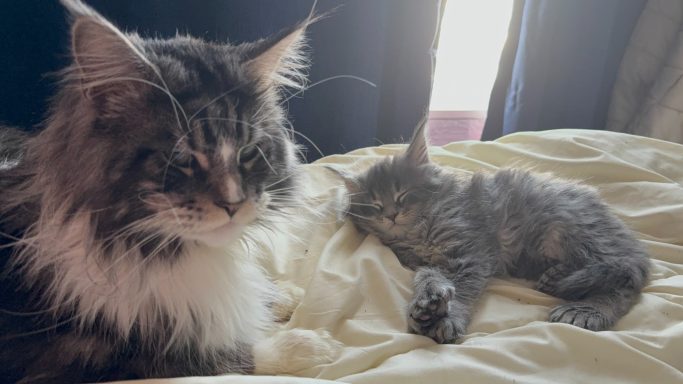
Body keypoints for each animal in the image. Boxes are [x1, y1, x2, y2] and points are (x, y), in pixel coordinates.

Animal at [0, 0, 342, 384]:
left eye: (249, 152)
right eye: (181, 158)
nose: (233, 204)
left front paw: (281, 293)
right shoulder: (83, 360)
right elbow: (223, 355)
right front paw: (308, 346)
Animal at [336, 118, 652, 344]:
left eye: (402, 195)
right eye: (375, 206)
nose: (391, 215)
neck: (421, 233)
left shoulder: (472, 252)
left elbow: (463, 289)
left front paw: (447, 319)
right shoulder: (429, 264)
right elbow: (430, 279)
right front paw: (426, 306)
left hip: (570, 226)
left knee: (624, 278)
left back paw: (584, 308)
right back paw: (559, 276)